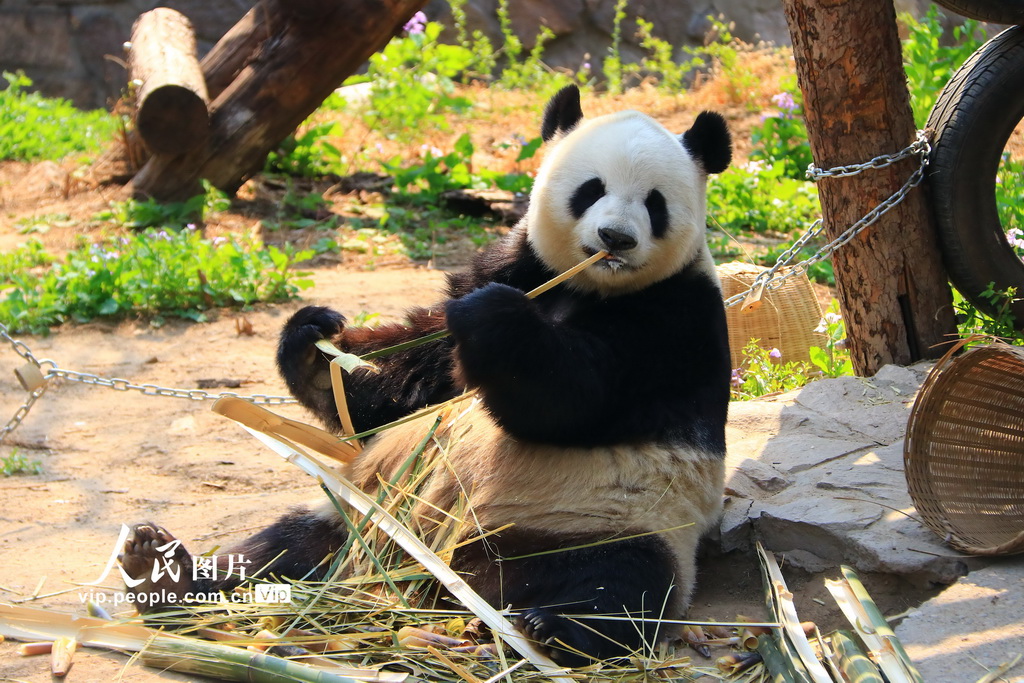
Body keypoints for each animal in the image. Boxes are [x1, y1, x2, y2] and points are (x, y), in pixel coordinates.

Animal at [123, 85, 733, 667]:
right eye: (591, 189)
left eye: (654, 204)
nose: (615, 238)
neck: (584, 286)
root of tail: (459, 584)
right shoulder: (515, 263)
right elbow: (414, 386)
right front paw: (314, 347)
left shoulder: (675, 320)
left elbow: (572, 402)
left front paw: (496, 318)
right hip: (367, 516)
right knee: (288, 547)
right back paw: (165, 572)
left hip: (610, 519)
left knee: (623, 583)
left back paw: (557, 629)